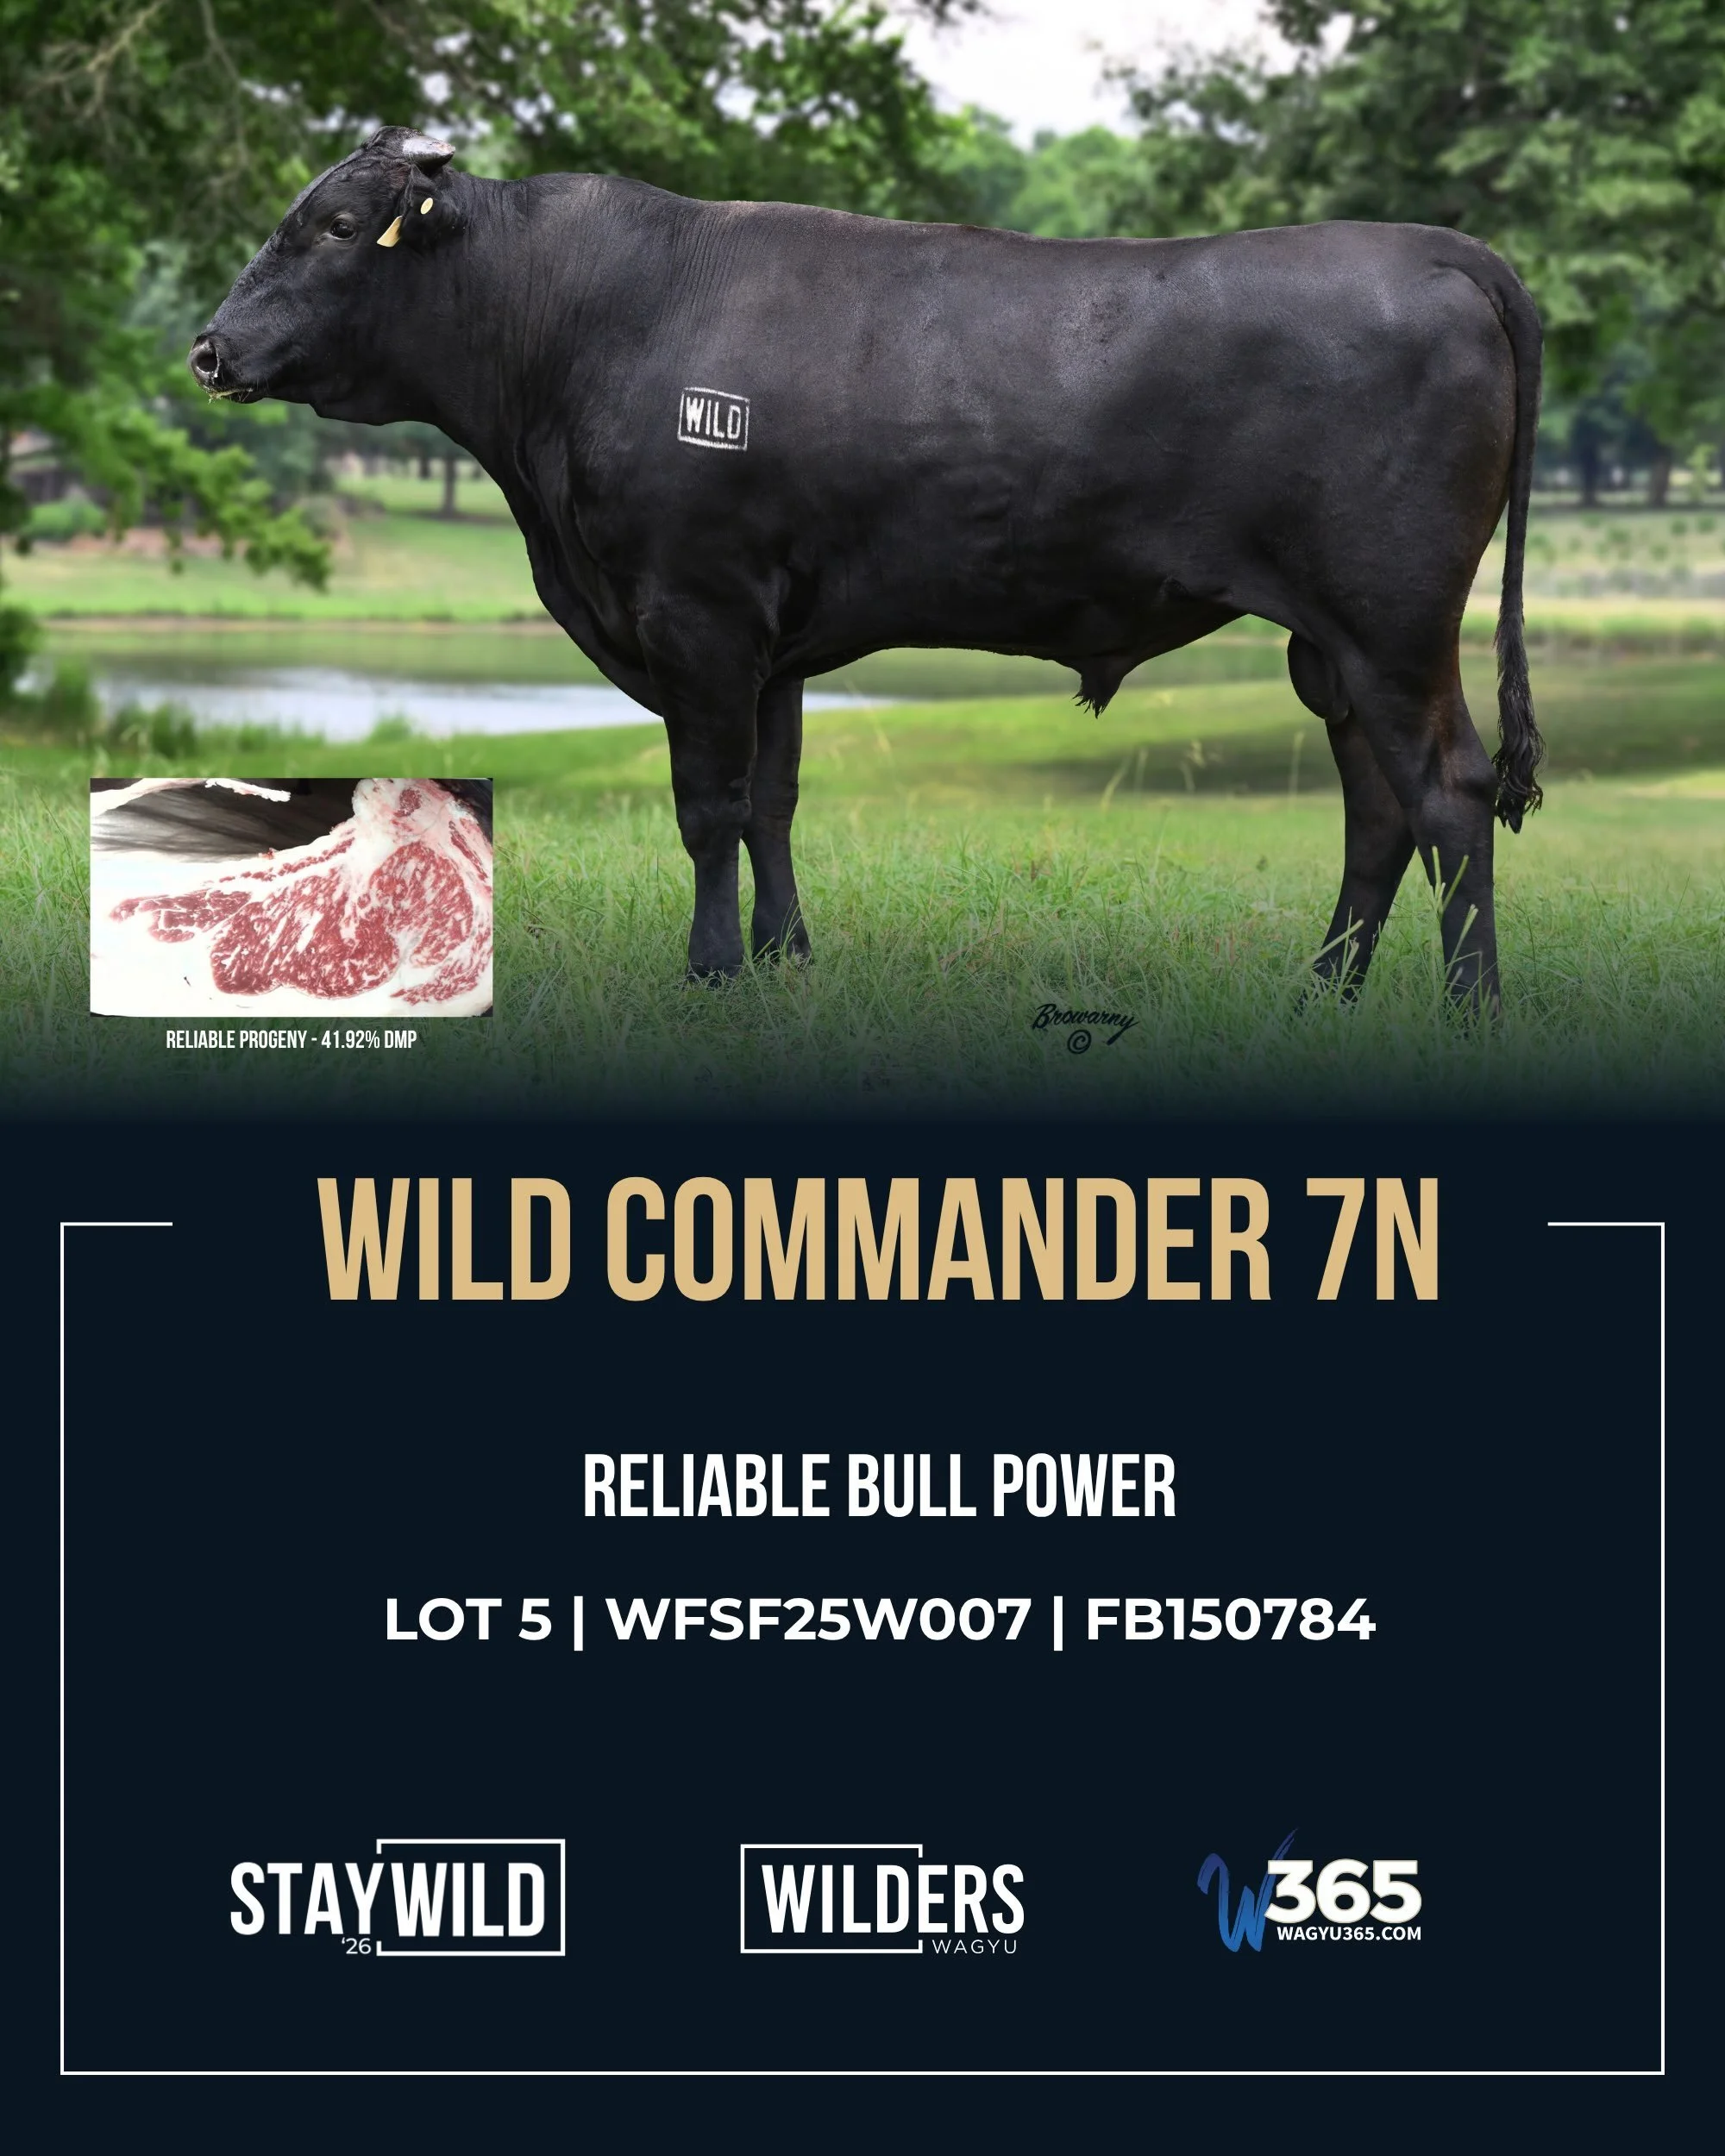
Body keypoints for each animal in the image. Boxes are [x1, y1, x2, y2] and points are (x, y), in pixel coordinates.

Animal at [190, 126, 1543, 1008]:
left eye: (334, 227)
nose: (208, 348)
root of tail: (1441, 250)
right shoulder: (771, 639)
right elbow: (773, 802)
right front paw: (785, 961)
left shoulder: (697, 611)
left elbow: (709, 805)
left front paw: (711, 972)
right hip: (1334, 644)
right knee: (1378, 811)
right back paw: (1324, 990)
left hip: (1391, 621)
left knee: (1447, 796)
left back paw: (1465, 1009)